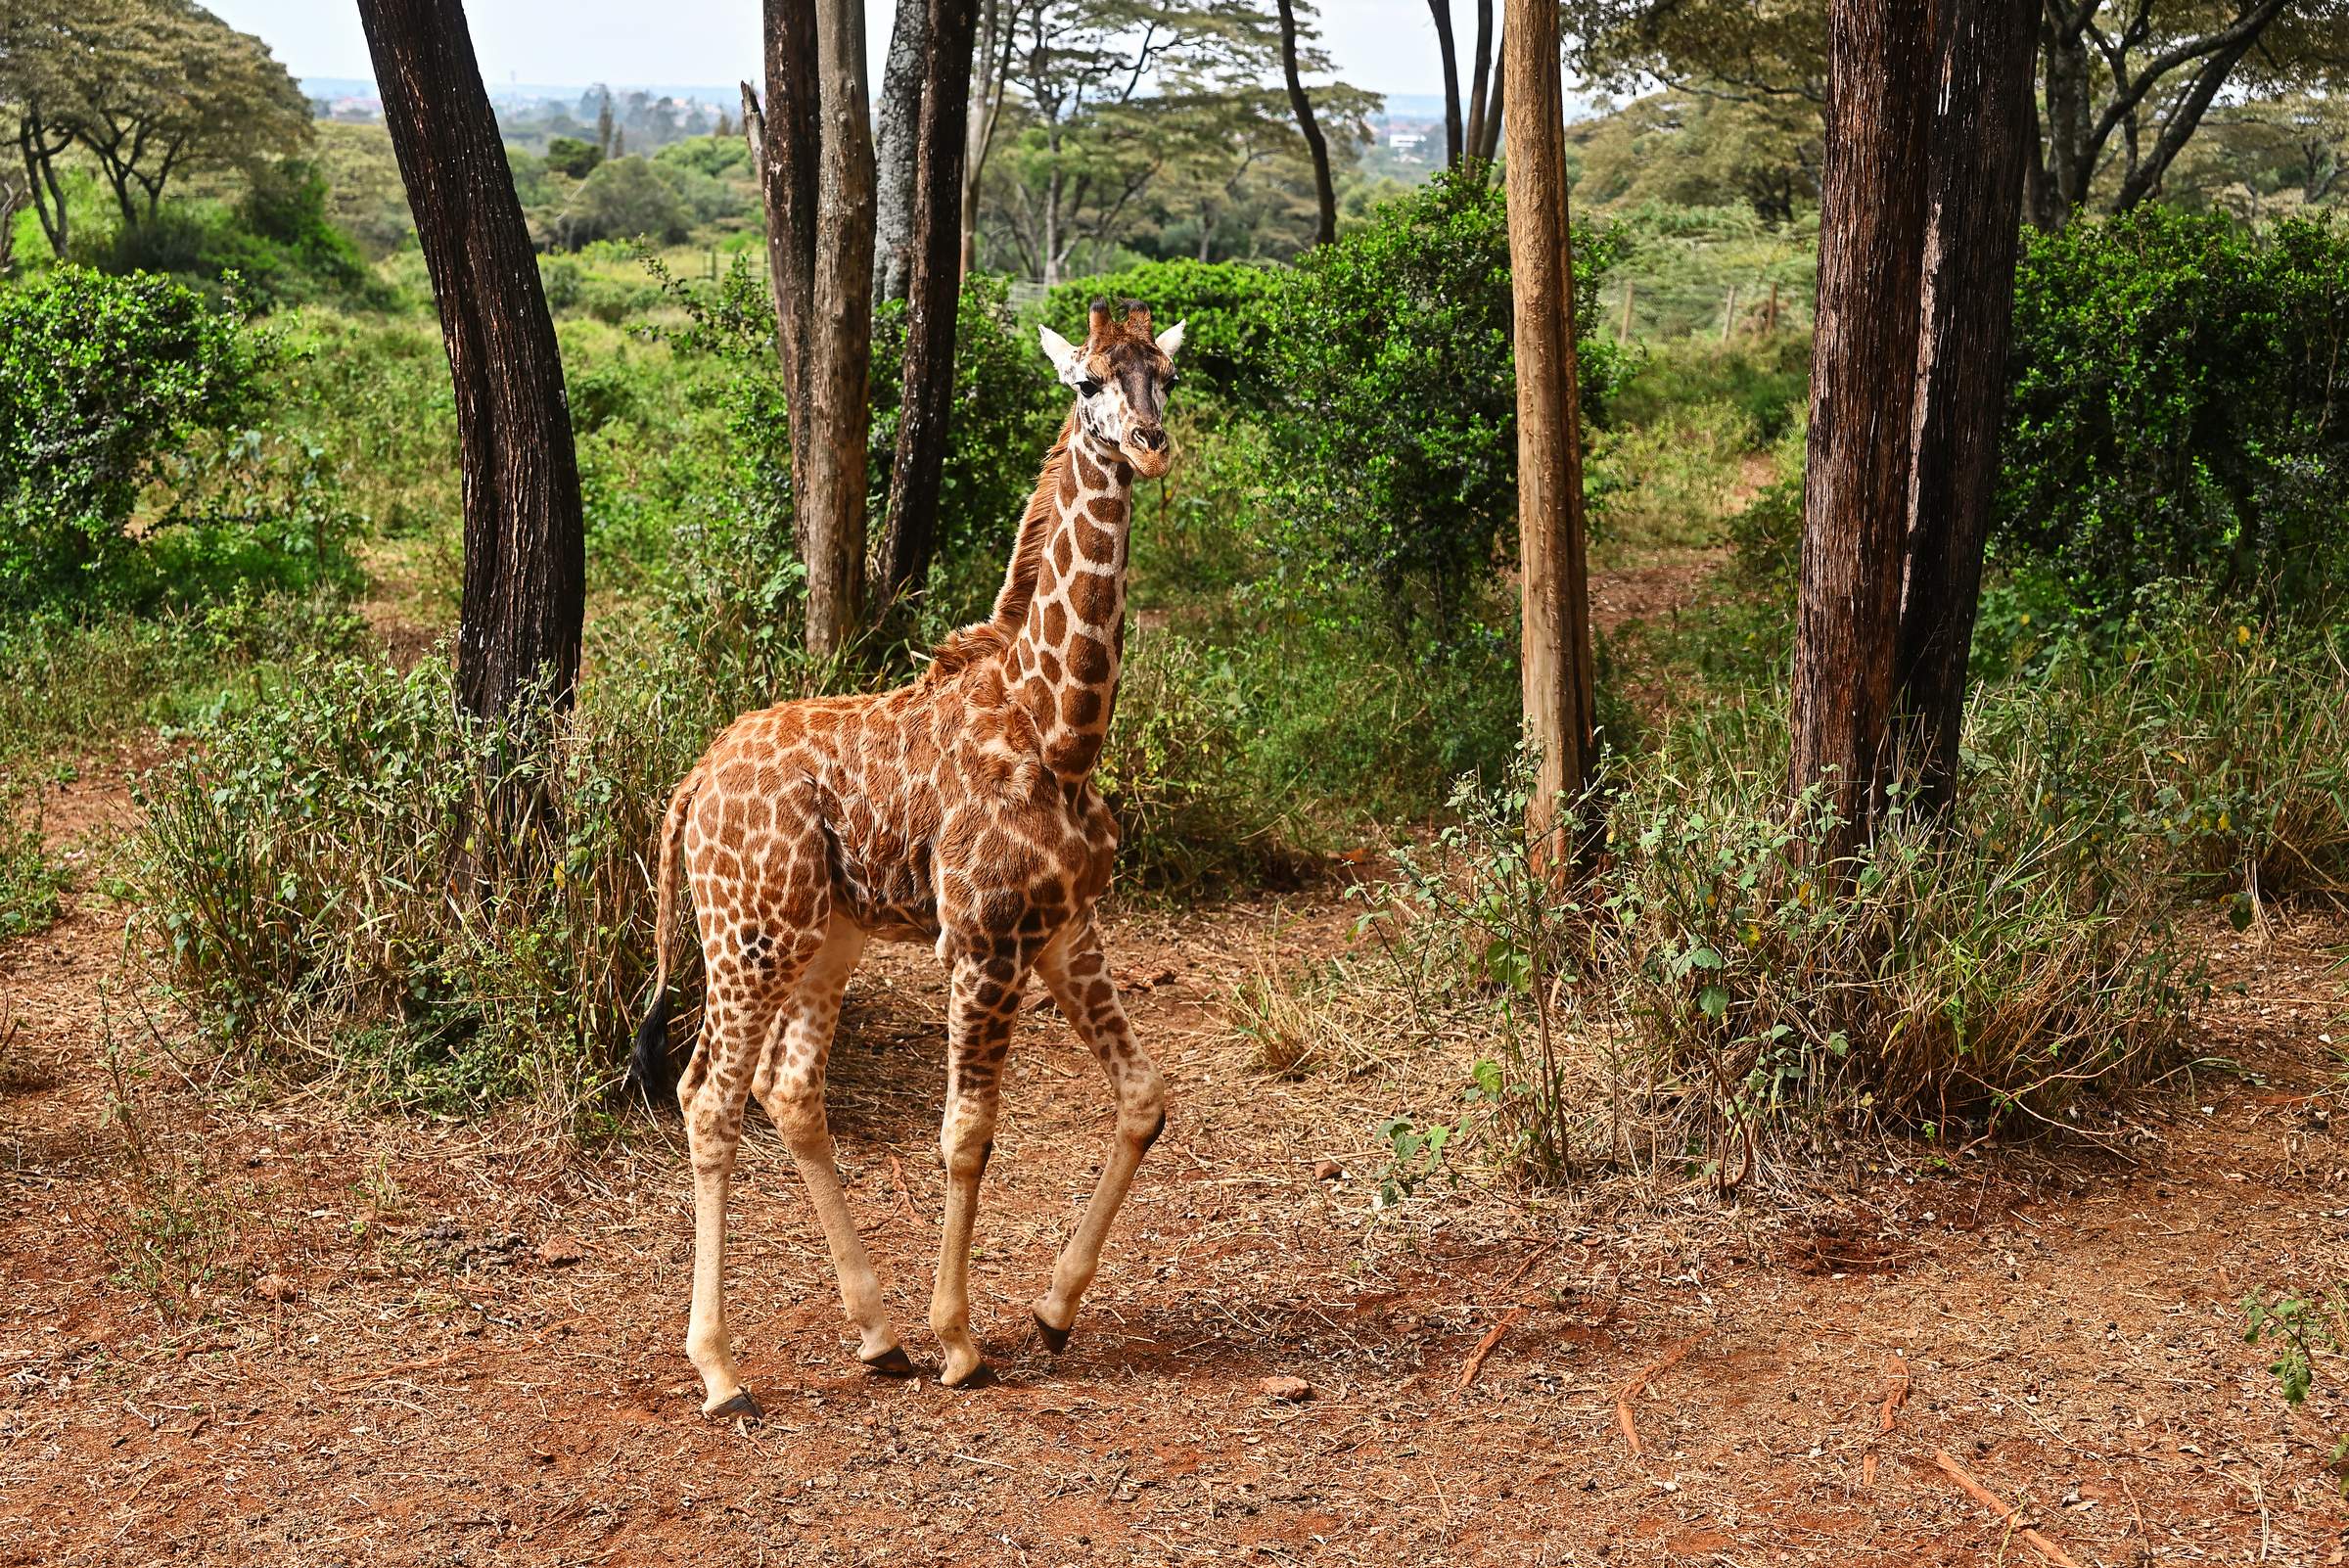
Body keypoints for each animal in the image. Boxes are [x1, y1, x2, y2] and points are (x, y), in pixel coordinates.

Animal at [628, 299, 1187, 1414]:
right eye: (1087, 382)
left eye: (1168, 377)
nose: (1151, 445)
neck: (1056, 729)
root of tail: (692, 783)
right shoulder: (982, 940)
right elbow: (966, 1133)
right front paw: (962, 1342)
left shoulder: (1068, 928)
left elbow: (1144, 1099)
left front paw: (1054, 1310)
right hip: (747, 937)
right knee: (708, 1097)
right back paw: (721, 1370)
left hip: (823, 942)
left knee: (788, 1090)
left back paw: (876, 1334)